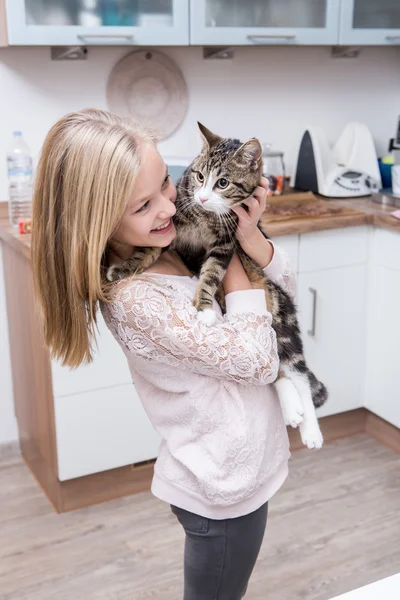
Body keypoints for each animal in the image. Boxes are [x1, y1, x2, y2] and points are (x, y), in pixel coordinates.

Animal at [107, 123, 328, 450]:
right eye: (200, 176)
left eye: (223, 182)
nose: (202, 198)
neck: (204, 216)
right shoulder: (171, 228)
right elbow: (148, 250)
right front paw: (123, 267)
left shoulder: (226, 243)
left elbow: (211, 273)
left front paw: (204, 307)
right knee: (274, 370)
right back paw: (292, 409)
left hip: (281, 317)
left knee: (296, 372)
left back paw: (310, 429)